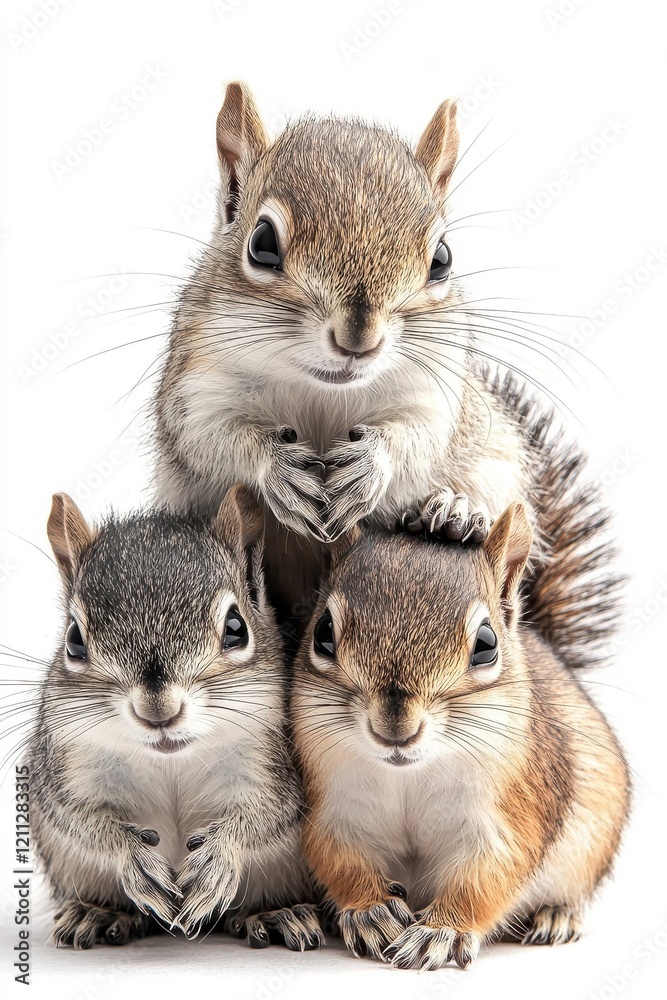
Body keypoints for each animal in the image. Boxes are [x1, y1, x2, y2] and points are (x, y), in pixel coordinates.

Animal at [28, 485, 322, 951]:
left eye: (236, 628)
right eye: (74, 640)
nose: (158, 711)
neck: (172, 761)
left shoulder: (277, 765)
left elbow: (266, 816)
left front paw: (218, 859)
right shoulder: (63, 770)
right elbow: (80, 821)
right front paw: (132, 857)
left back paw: (275, 912)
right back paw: (100, 912)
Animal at [152, 81, 622, 657]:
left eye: (442, 258)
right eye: (261, 243)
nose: (360, 338)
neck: (323, 393)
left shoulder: (435, 389)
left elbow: (420, 436)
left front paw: (373, 465)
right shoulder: (197, 382)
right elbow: (209, 439)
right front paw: (278, 469)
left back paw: (455, 515)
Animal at [291, 502, 630, 971]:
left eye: (486, 644)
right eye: (323, 633)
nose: (396, 728)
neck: (408, 775)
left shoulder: (512, 817)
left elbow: (487, 878)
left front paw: (441, 931)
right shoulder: (334, 811)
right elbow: (340, 861)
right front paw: (370, 911)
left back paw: (556, 915)